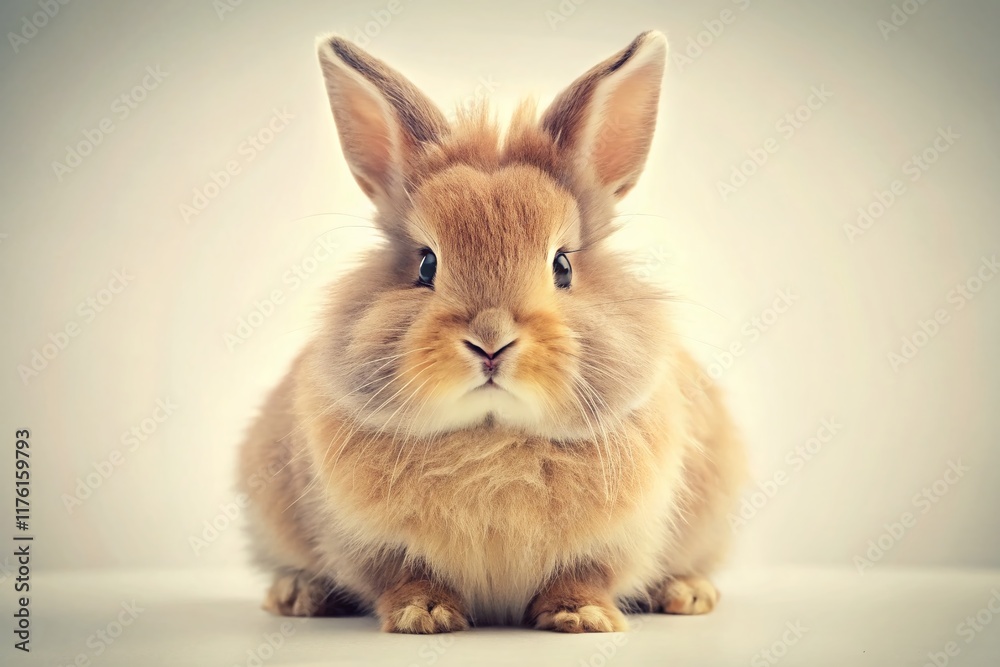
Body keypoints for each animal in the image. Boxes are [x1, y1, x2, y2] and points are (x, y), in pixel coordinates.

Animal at [237, 29, 747, 634]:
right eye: (426, 264)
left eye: (562, 266)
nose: (490, 342)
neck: (492, 436)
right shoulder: (371, 546)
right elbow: (404, 575)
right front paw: (424, 616)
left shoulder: (615, 542)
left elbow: (584, 574)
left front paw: (581, 617)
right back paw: (298, 595)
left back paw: (687, 593)